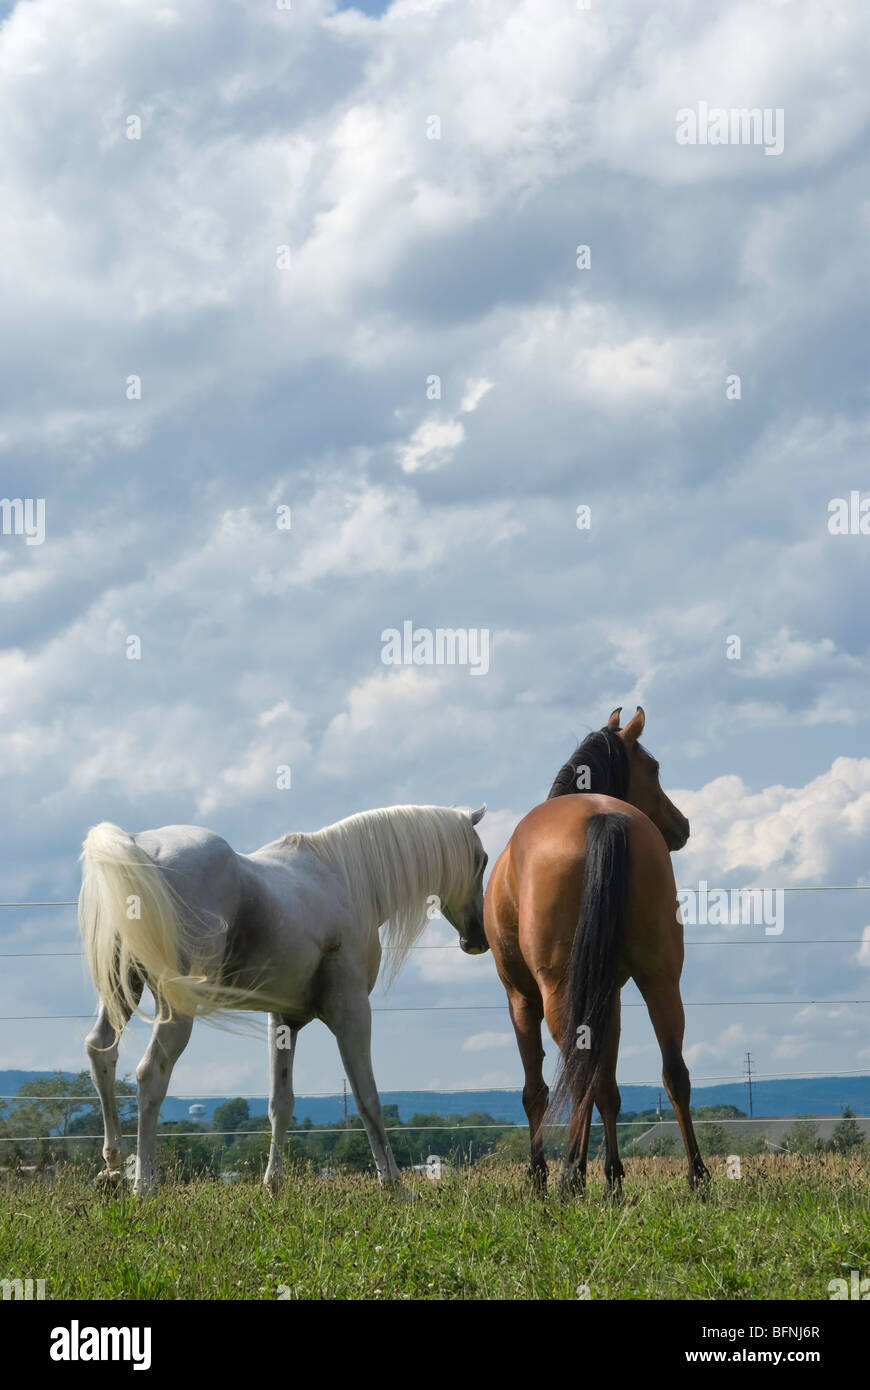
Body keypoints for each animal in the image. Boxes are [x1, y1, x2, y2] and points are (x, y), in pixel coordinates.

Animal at [79, 806, 489, 1195]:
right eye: (482, 860)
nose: (476, 939)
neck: (345, 879)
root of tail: (139, 846)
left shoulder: (284, 1021)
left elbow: (281, 1103)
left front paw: (273, 1184)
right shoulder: (352, 1012)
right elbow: (367, 1097)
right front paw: (395, 1186)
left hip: (122, 991)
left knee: (101, 1050)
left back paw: (112, 1168)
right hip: (175, 1010)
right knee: (151, 1073)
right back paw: (144, 1184)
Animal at [483, 706, 708, 1195]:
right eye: (653, 768)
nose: (682, 825)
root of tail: (603, 818)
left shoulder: (520, 998)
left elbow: (537, 1089)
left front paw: (542, 1175)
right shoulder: (613, 995)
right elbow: (609, 1086)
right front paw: (613, 1176)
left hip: (557, 991)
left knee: (576, 1072)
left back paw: (569, 1175)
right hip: (661, 979)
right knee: (673, 1071)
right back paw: (697, 1176)